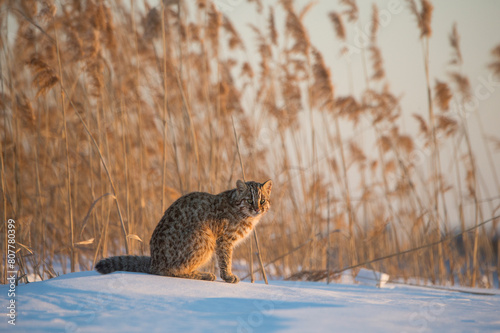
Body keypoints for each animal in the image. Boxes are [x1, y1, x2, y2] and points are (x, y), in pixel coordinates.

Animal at [95, 179, 272, 282]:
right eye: (249, 200)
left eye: (262, 200)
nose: (257, 209)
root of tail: (153, 261)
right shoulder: (224, 240)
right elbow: (225, 259)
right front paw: (228, 276)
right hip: (205, 238)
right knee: (169, 270)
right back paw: (202, 275)